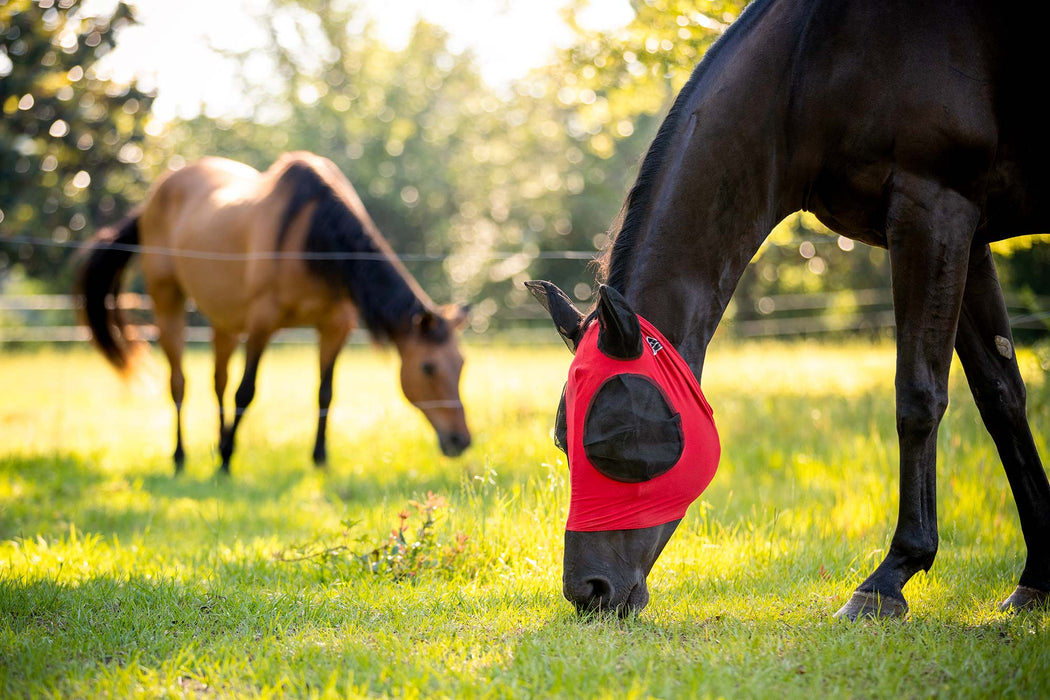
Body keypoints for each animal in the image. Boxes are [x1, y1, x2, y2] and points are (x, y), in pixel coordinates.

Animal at [74, 150, 468, 474]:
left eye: (461, 364)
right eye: (428, 367)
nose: (461, 440)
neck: (315, 241)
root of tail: (152, 199)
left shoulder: (335, 327)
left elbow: (325, 393)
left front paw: (319, 459)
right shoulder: (262, 324)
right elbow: (245, 392)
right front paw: (227, 459)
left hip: (224, 319)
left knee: (218, 381)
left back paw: (216, 443)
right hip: (167, 300)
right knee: (180, 383)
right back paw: (181, 457)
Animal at [529, 0, 1050, 617]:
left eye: (607, 439)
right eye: (562, 442)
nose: (588, 591)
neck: (810, 66)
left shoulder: (936, 209)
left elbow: (919, 398)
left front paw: (888, 579)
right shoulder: (969, 234)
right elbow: (1002, 398)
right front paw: (1039, 576)